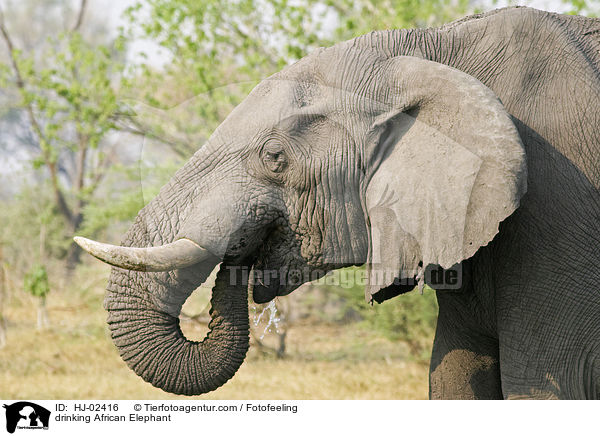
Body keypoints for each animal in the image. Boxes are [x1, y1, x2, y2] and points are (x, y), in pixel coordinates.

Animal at [76, 6, 600, 400]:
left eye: (274, 157)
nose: (241, 252)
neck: (431, 50)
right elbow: (454, 378)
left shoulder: (559, 213)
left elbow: (540, 385)